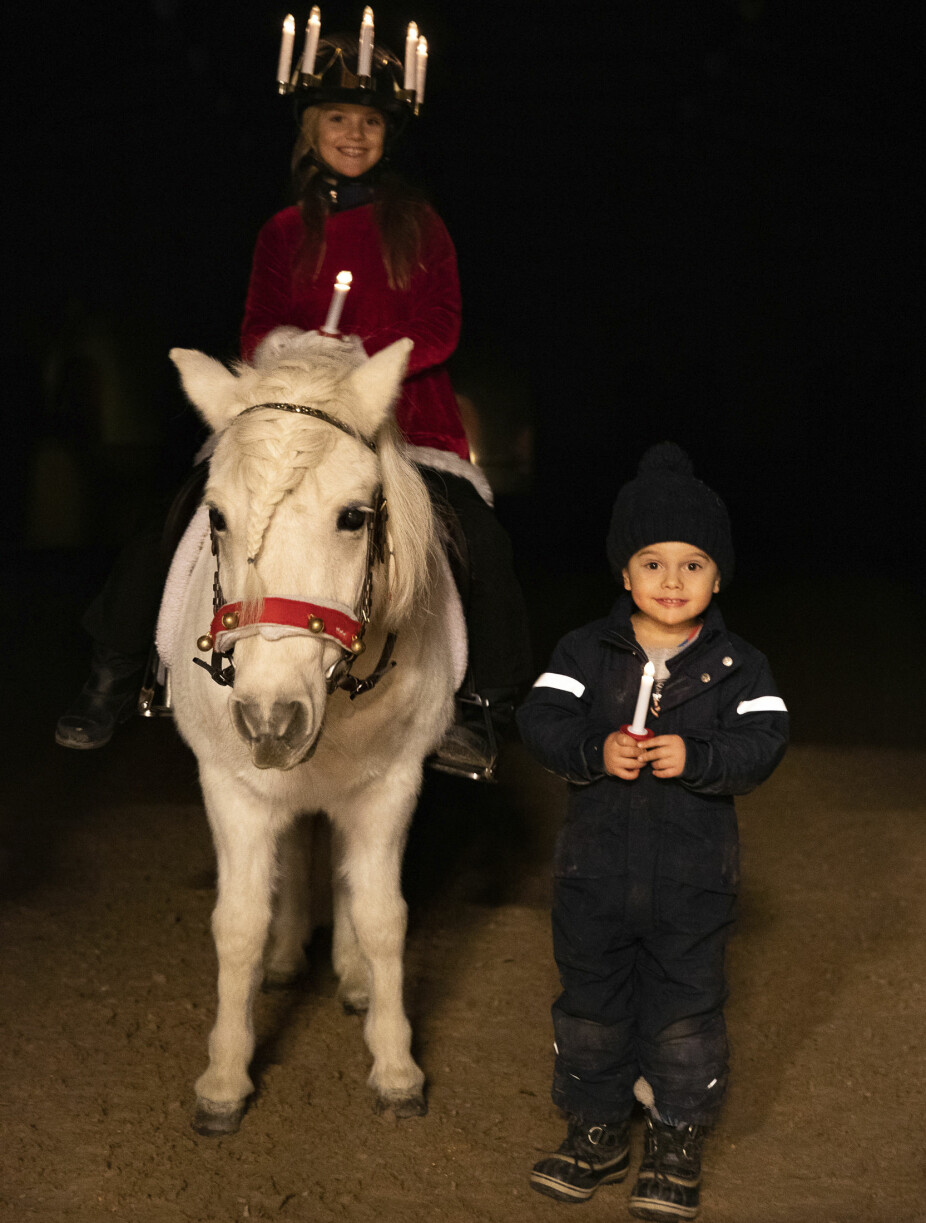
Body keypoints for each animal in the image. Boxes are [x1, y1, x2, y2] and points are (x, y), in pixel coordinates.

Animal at [167, 332, 459, 1134]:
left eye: (353, 517)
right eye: (217, 517)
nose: (270, 719)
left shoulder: (391, 786)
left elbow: (385, 916)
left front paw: (395, 1066)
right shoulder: (232, 787)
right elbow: (237, 923)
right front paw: (224, 1077)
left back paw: (353, 975)